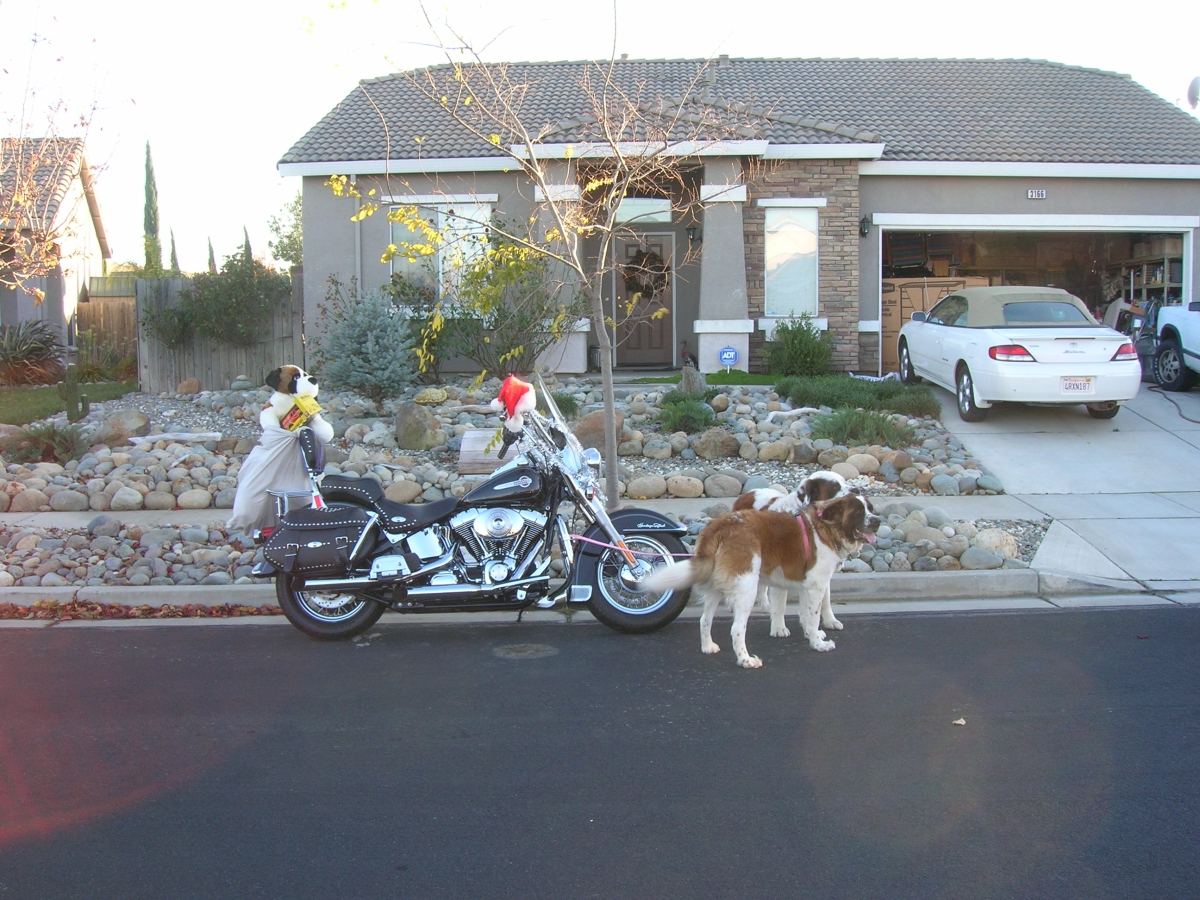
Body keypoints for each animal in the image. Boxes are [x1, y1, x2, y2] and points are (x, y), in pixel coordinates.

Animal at [645, 494, 881, 668]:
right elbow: (813, 617)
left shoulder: (805, 585)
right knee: (737, 628)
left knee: (704, 619)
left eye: (870, 508)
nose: (877, 520)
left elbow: (805, 613)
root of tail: (721, 524)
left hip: (715, 588)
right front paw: (817, 643)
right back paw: (746, 660)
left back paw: (708, 646)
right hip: (746, 587)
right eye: (859, 512)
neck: (828, 525)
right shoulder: (816, 586)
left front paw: (810, 634)